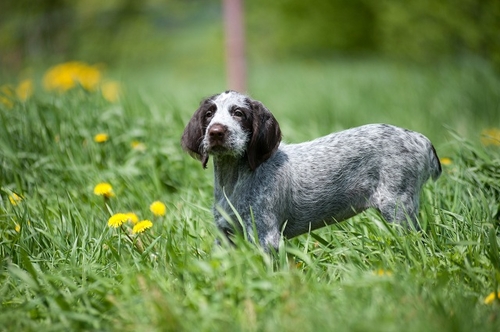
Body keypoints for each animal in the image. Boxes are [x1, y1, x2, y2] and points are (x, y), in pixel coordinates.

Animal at [181, 89, 442, 250]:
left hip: (398, 209)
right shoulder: (225, 235)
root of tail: (420, 139)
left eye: (238, 113)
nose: (216, 132)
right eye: (209, 114)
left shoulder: (266, 235)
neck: (235, 180)